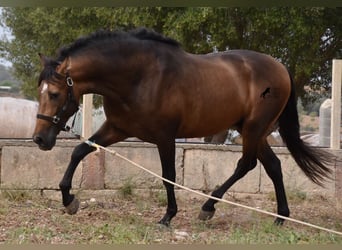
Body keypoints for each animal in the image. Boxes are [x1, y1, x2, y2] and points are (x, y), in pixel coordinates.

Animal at [31, 27, 332, 227]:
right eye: (40, 92)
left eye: (54, 94)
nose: (39, 139)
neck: (138, 77)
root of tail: (280, 67)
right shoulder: (117, 128)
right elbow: (79, 152)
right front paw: (69, 201)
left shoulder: (165, 136)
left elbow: (169, 175)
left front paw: (168, 216)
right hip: (254, 131)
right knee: (273, 165)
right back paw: (280, 216)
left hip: (253, 129)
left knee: (246, 164)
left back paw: (208, 207)